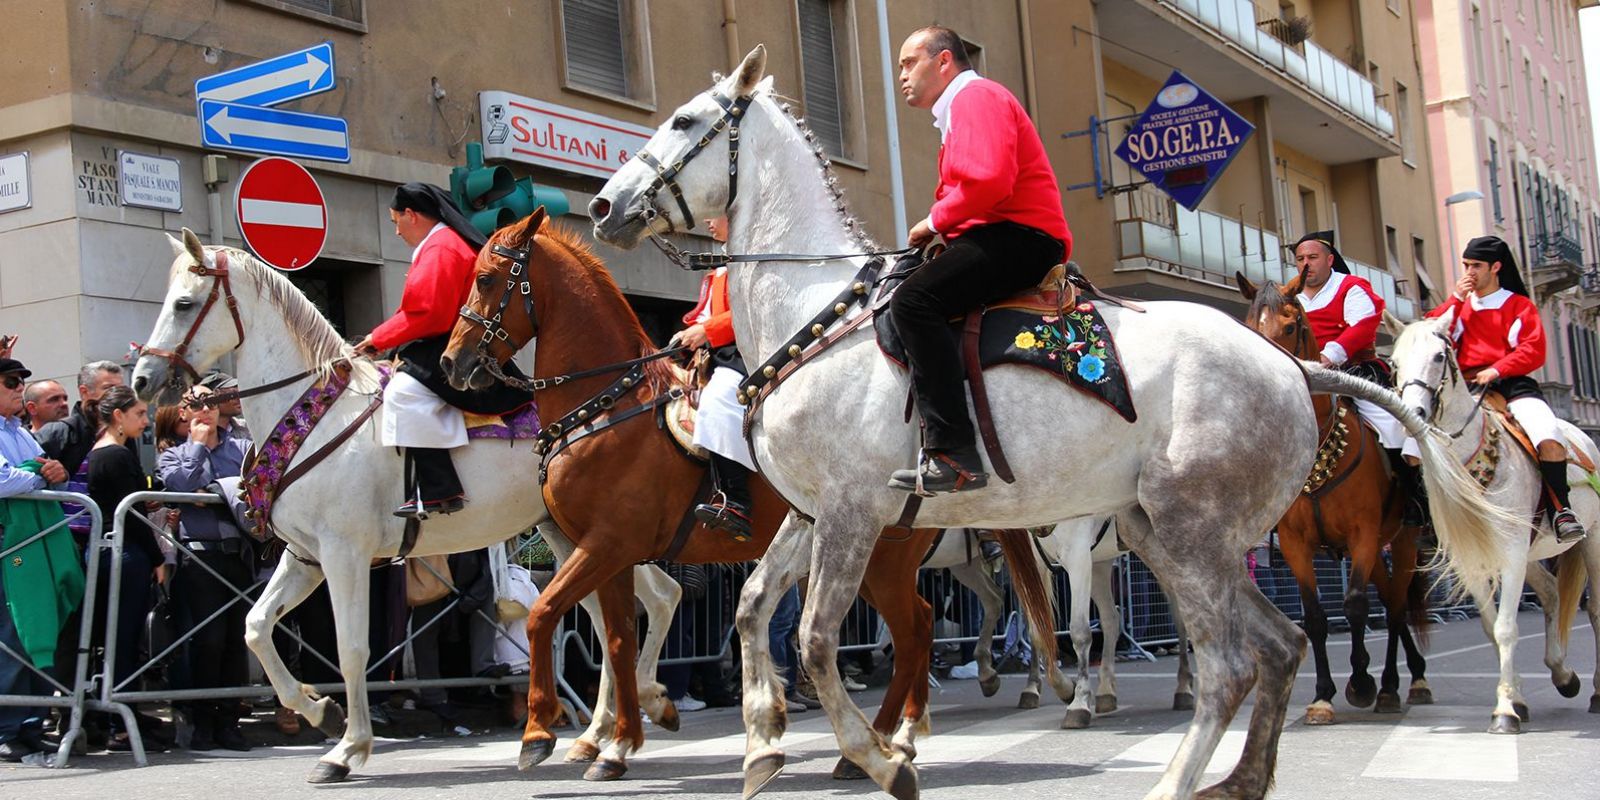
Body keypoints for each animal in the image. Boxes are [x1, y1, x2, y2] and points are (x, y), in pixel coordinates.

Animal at [441, 209, 1062, 784]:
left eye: (488, 278)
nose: (453, 363)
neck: (605, 407)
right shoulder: (607, 553)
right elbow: (614, 642)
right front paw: (618, 744)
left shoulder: (607, 545)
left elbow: (542, 616)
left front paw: (540, 732)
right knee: (924, 625)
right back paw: (882, 742)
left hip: (880, 558)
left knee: (919, 631)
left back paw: (885, 743)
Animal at [1235, 273, 1440, 726]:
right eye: (1246, 325)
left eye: (1290, 325)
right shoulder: (1296, 544)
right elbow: (1315, 617)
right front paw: (1323, 696)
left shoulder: (1363, 533)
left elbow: (1356, 605)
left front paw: (1361, 683)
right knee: (1391, 600)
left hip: (1400, 541)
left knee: (1395, 607)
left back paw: (1401, 683)